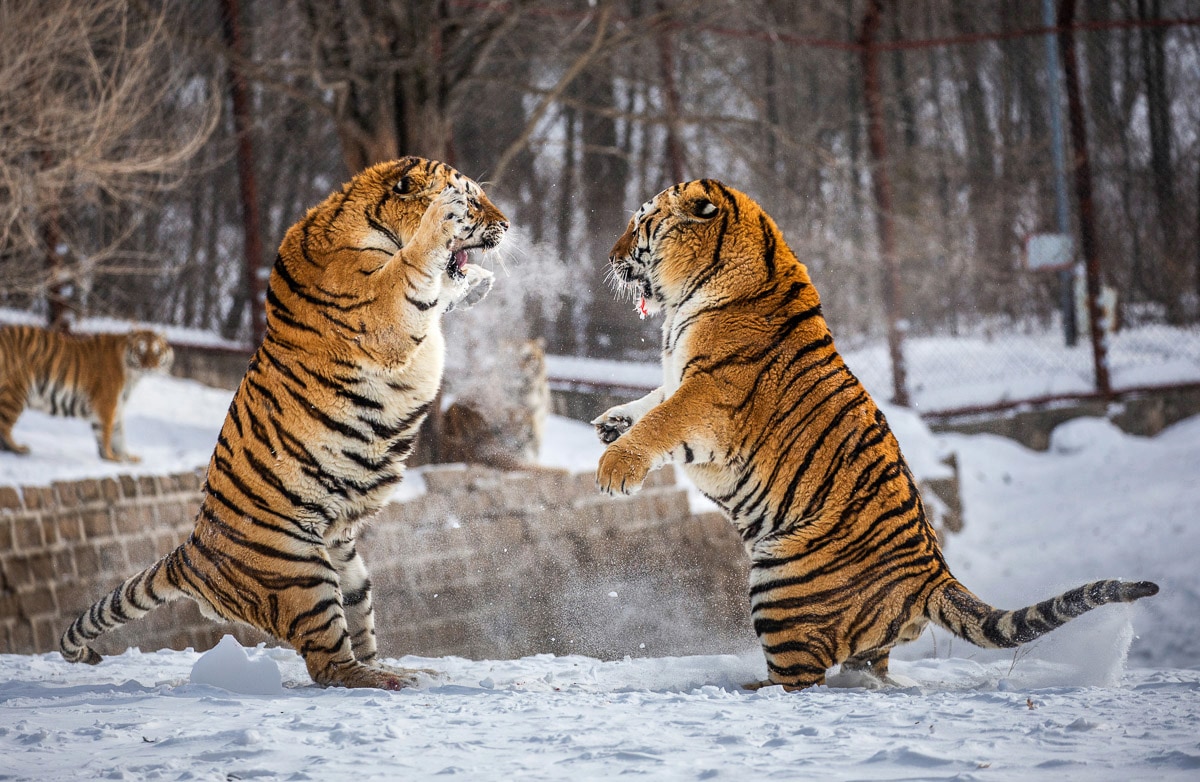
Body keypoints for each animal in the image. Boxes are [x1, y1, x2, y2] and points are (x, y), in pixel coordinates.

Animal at [0, 321, 175, 460]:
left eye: (157, 352)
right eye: (141, 351)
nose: (150, 367)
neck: (133, 374)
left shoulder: (117, 406)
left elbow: (119, 434)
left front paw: (128, 457)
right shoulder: (107, 403)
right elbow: (106, 432)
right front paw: (110, 457)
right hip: (16, 392)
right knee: (4, 426)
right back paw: (19, 449)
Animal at [58, 158, 508, 690]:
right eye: (475, 200)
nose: (507, 225)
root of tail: (191, 551)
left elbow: (441, 286)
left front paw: (476, 281)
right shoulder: (383, 310)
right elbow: (414, 268)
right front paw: (443, 221)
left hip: (349, 570)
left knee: (356, 637)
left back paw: (393, 667)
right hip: (302, 573)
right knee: (327, 665)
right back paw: (385, 680)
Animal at [595, 178, 1156, 690]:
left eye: (641, 221)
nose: (610, 255)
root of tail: (933, 575)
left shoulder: (708, 395)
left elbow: (662, 419)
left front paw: (614, 467)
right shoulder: (681, 380)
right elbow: (651, 400)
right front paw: (610, 423)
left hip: (781, 583)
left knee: (798, 680)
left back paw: (742, 686)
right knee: (865, 670)